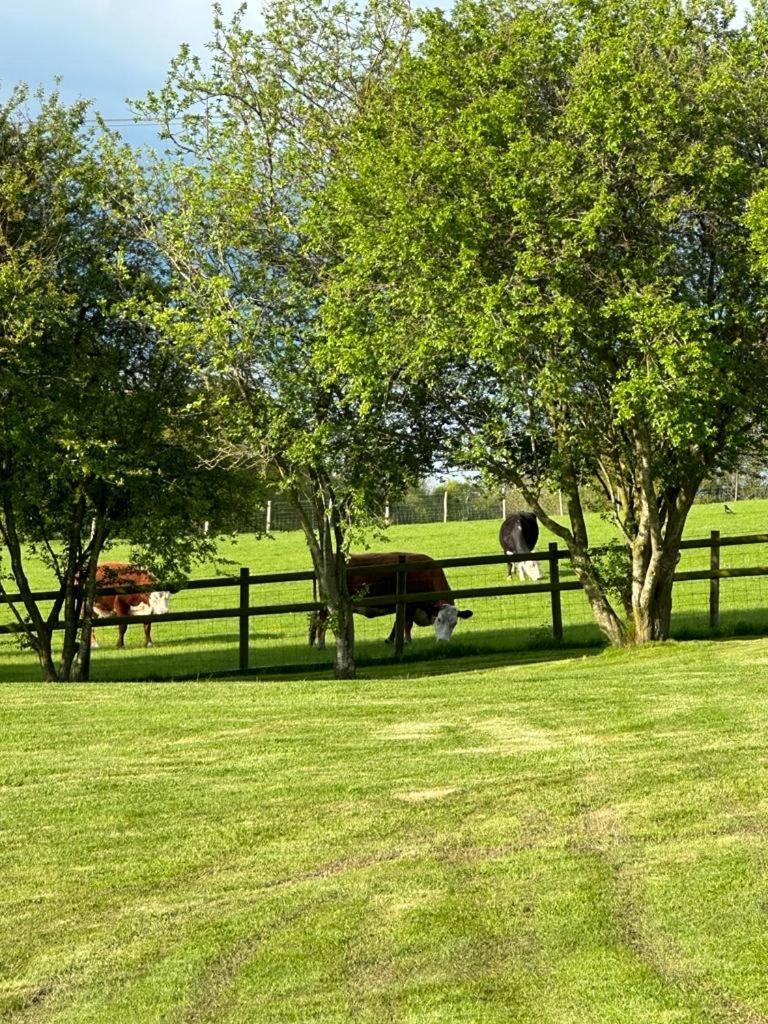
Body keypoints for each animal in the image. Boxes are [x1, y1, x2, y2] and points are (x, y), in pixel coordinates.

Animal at [309, 552, 473, 647]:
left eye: (454, 623)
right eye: (439, 619)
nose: (443, 642)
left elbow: (400, 624)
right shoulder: (409, 605)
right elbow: (404, 624)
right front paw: (404, 641)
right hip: (327, 605)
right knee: (321, 622)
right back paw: (321, 645)